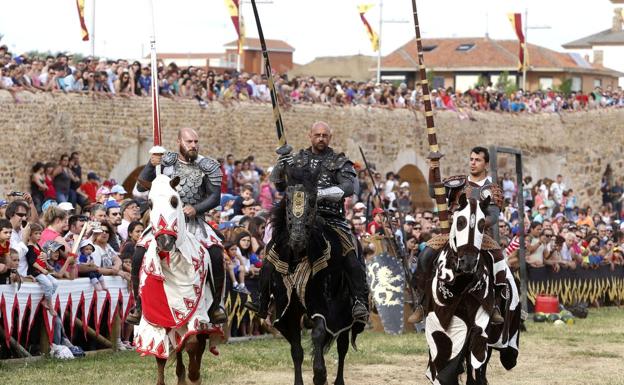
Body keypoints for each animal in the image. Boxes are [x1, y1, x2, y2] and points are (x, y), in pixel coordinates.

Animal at [264, 164, 366, 384]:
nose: (297, 239)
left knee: (342, 347)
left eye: (312, 202)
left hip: (345, 315)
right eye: (288, 202)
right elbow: (297, 351)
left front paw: (320, 374)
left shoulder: (323, 307)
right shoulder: (289, 310)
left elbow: (318, 335)